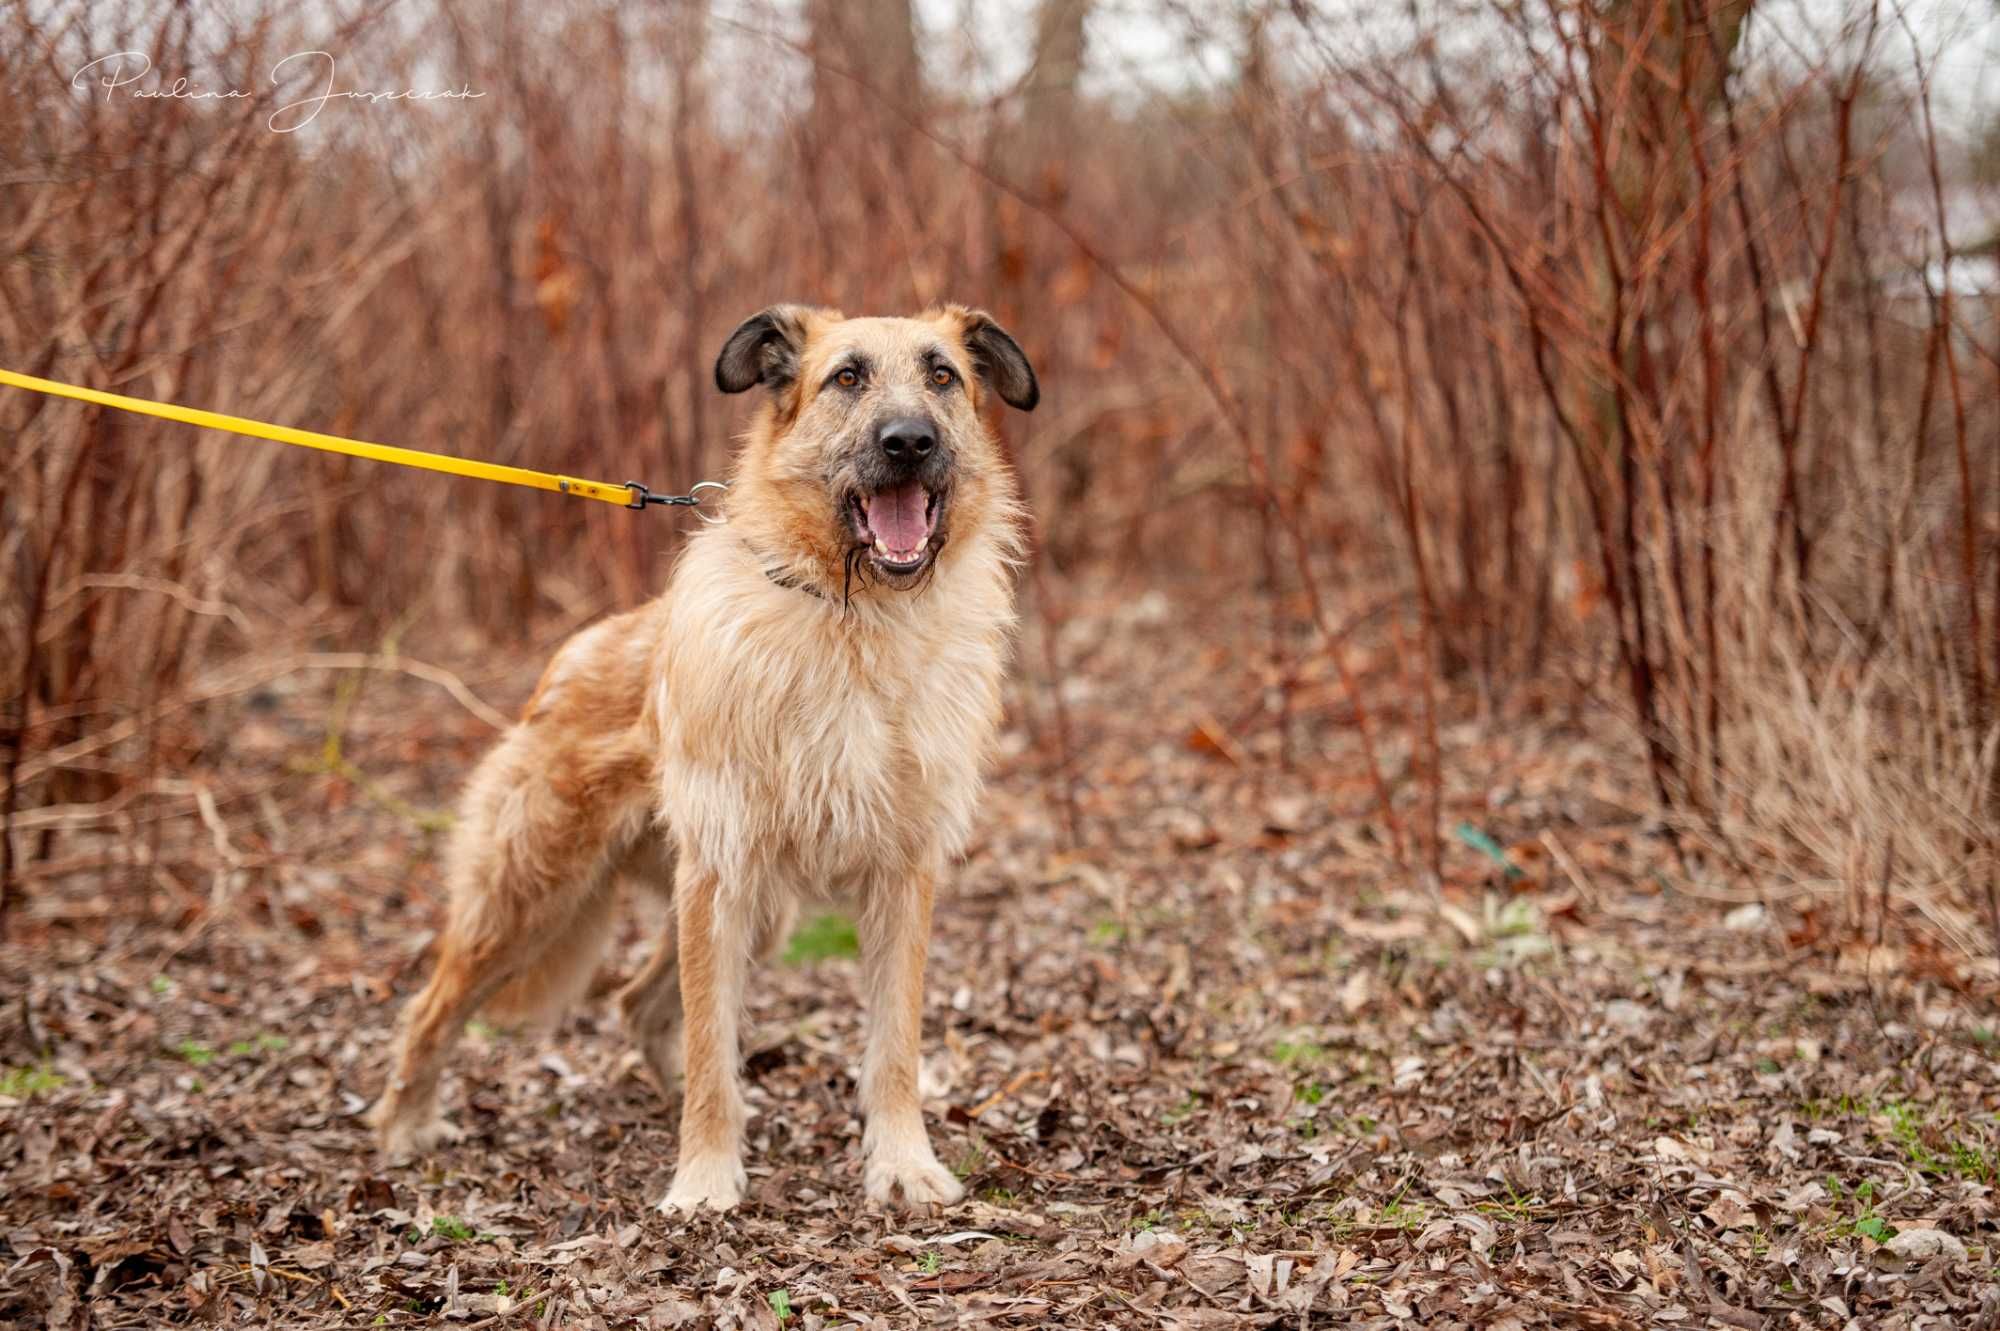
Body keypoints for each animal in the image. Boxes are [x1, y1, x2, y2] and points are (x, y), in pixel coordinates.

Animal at [366, 303, 1040, 1215]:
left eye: (943, 375)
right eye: (848, 377)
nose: (909, 441)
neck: (855, 617)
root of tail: (568, 660)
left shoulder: (901, 873)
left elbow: (892, 1045)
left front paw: (901, 1163)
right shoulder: (718, 872)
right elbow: (710, 1042)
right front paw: (706, 1180)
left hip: (756, 912)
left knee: (643, 1004)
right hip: (531, 896)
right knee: (434, 1007)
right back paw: (404, 1127)